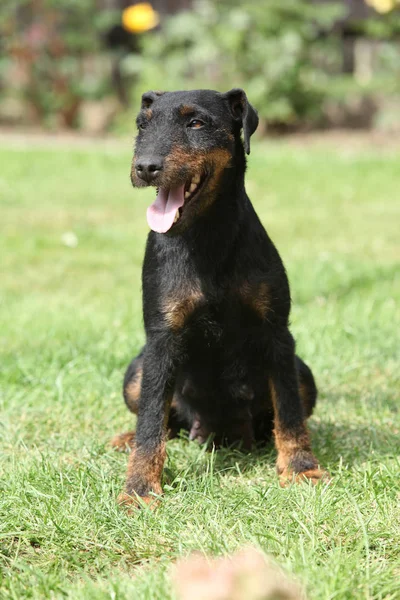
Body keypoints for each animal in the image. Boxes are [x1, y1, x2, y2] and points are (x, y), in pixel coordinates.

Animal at [113, 86, 328, 504]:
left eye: (196, 122)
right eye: (143, 125)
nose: (145, 167)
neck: (207, 237)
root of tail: (219, 435)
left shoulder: (277, 334)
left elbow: (290, 413)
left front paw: (300, 468)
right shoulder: (161, 340)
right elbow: (151, 418)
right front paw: (139, 488)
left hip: (303, 373)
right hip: (137, 370)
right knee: (162, 421)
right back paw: (127, 439)